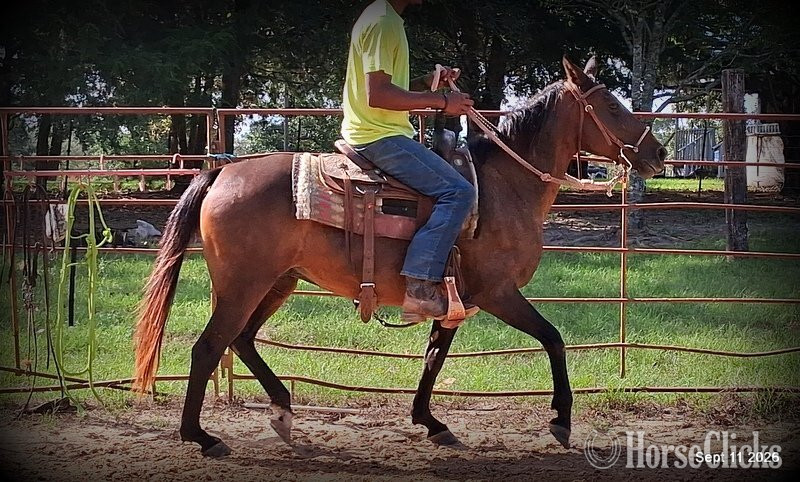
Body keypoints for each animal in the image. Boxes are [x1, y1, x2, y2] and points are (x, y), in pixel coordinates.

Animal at [133, 56, 666, 457]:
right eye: (612, 106)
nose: (658, 155)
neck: (504, 187)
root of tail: (220, 173)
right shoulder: (498, 293)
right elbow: (553, 338)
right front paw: (561, 419)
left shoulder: (455, 300)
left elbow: (434, 357)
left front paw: (430, 422)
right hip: (242, 285)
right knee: (209, 347)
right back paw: (201, 437)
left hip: (278, 281)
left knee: (241, 340)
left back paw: (283, 410)